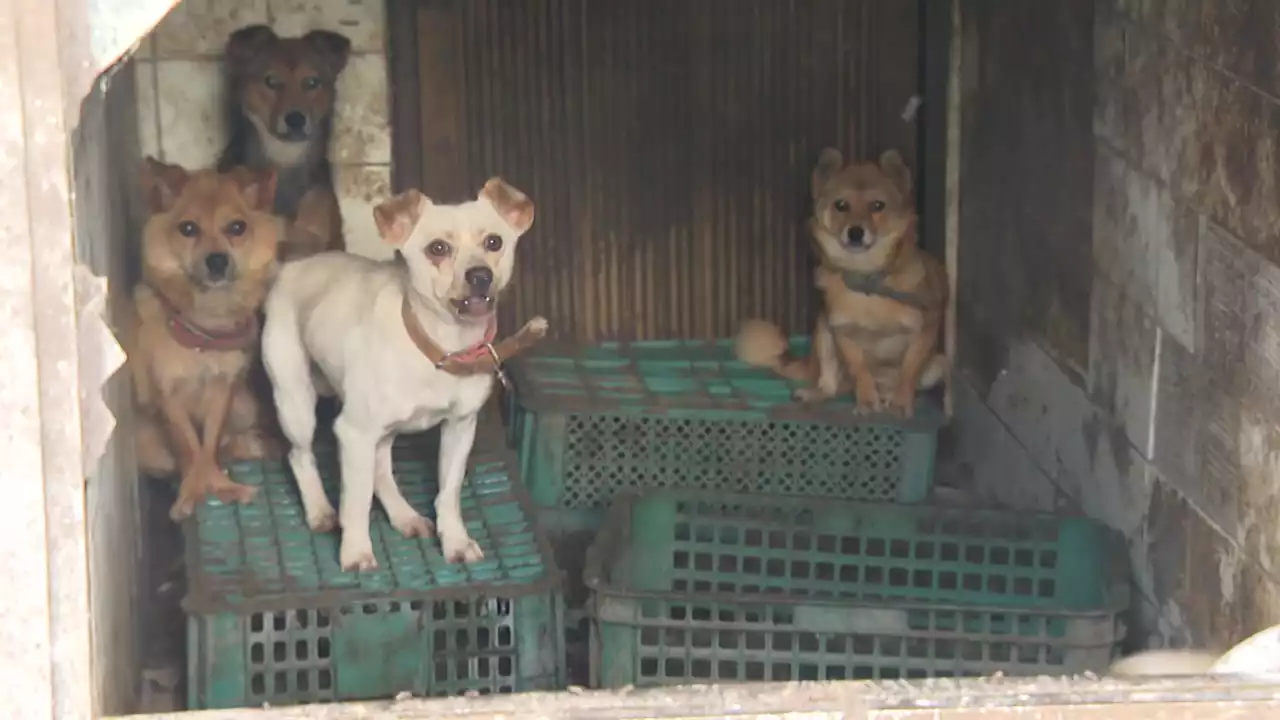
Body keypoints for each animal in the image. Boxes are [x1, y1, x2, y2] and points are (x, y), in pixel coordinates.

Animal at [127, 155, 282, 515]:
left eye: (237, 228)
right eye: (188, 229)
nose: (217, 261)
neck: (205, 328)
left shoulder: (224, 390)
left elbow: (209, 442)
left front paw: (219, 484)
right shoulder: (167, 395)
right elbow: (188, 444)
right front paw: (195, 490)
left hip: (245, 406)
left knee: (229, 442)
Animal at [262, 178, 547, 566]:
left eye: (494, 242)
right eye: (437, 248)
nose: (480, 276)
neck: (440, 348)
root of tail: (293, 266)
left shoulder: (460, 428)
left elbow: (448, 493)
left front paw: (455, 540)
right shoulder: (353, 434)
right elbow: (356, 501)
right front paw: (355, 552)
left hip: (382, 431)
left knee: (381, 471)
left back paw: (404, 515)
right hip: (296, 405)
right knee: (300, 456)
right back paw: (319, 510)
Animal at [737, 147, 947, 415]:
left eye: (878, 206)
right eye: (841, 205)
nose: (855, 232)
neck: (866, 278)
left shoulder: (925, 331)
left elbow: (907, 374)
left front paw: (900, 403)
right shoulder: (842, 332)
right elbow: (861, 371)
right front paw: (866, 400)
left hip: (939, 364)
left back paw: (890, 398)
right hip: (823, 331)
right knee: (831, 384)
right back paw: (816, 394)